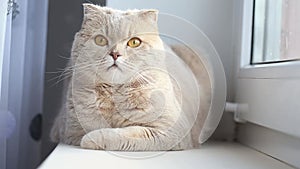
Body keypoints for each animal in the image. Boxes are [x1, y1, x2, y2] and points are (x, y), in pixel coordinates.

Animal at [50, 3, 211, 151]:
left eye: (134, 42)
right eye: (100, 40)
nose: (115, 54)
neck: (114, 94)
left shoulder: (172, 131)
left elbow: (124, 133)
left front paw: (93, 138)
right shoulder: (70, 130)